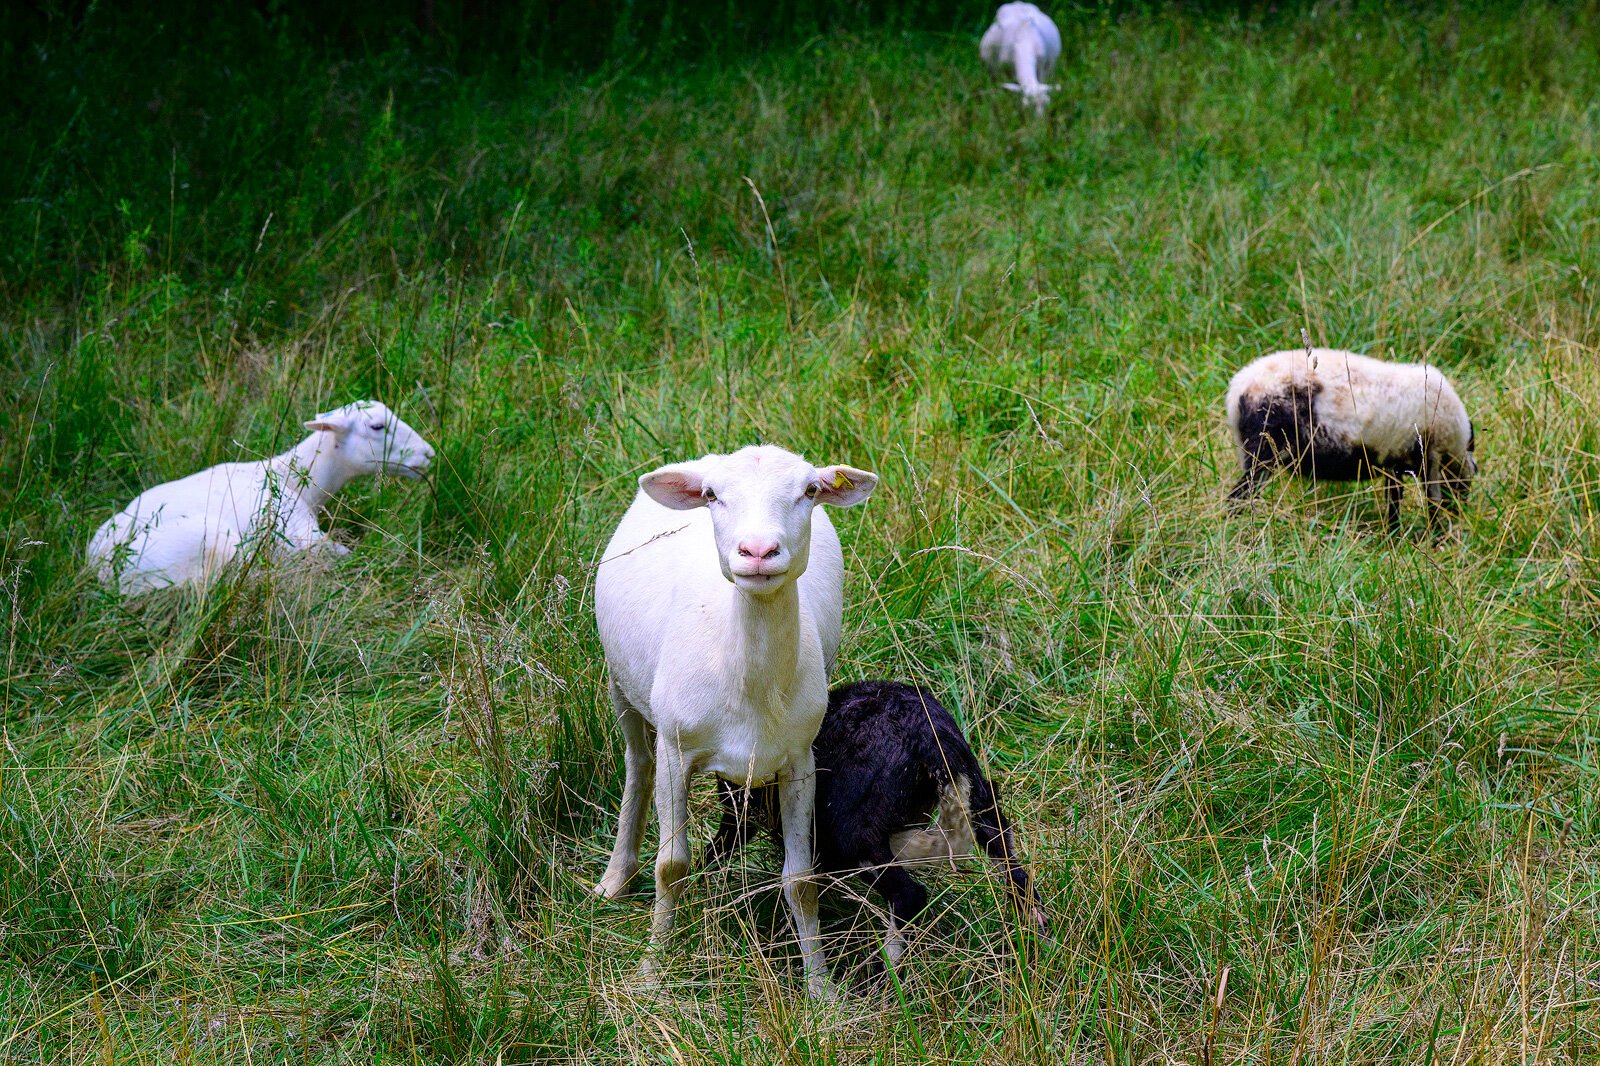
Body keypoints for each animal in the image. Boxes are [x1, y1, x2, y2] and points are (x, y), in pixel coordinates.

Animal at [88, 400, 435, 594]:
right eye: (377, 426)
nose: (429, 454)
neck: (294, 478)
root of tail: (99, 568)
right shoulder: (302, 535)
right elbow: (344, 555)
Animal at [592, 444, 879, 999]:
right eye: (711, 496)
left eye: (810, 490)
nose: (758, 551)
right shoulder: (676, 751)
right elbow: (671, 868)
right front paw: (651, 971)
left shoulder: (799, 758)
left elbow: (801, 882)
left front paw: (821, 989)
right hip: (622, 685)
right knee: (637, 765)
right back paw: (616, 878)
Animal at [705, 680, 1048, 971]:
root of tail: (928, 735)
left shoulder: (744, 805)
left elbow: (721, 844)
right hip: (979, 798)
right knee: (1013, 868)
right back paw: (1037, 938)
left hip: (856, 834)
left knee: (909, 896)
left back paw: (884, 981)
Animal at [1225, 348, 1476, 531]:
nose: (1461, 512)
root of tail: (1237, 391)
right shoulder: (1430, 456)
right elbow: (1433, 504)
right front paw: (1435, 540)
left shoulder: (1395, 462)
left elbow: (1394, 503)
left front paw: (1393, 537)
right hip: (1264, 453)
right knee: (1237, 498)